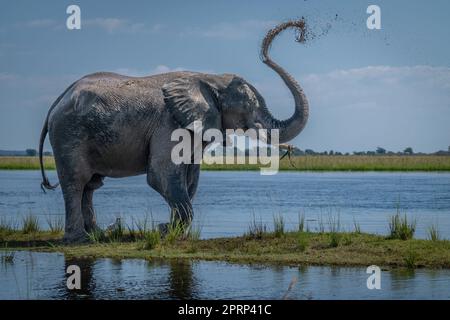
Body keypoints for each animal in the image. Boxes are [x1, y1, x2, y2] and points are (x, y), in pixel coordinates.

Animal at [38, 19, 310, 242]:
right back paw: (79, 239)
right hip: (68, 134)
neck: (209, 78)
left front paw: (172, 232)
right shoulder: (168, 123)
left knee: (91, 185)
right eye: (248, 108)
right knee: (76, 181)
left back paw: (96, 235)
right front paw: (164, 231)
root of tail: (58, 100)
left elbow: (189, 180)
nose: (297, 28)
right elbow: (162, 175)